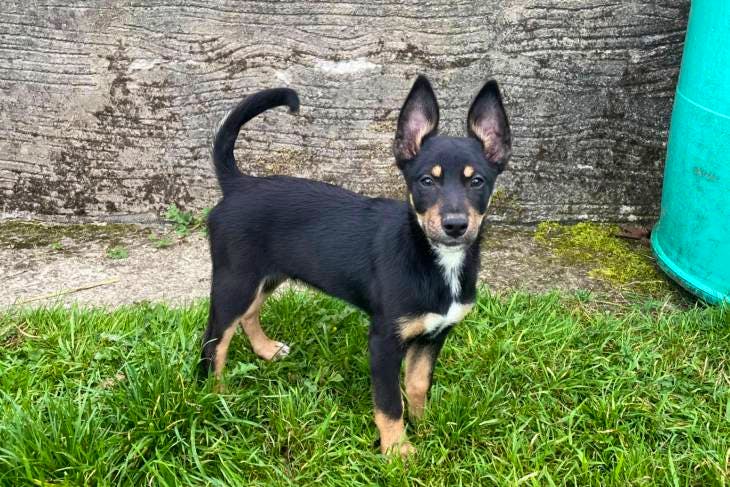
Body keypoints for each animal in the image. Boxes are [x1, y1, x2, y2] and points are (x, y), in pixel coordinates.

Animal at [196, 75, 510, 458]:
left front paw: (424, 426)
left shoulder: (434, 334)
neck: (432, 259)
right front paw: (398, 452)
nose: (455, 225)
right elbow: (389, 405)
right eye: (426, 181)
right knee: (215, 343)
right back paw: (216, 399)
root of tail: (238, 184)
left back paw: (265, 350)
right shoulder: (384, 342)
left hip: (265, 275)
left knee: (249, 314)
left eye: (477, 181)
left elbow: (418, 385)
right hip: (235, 280)